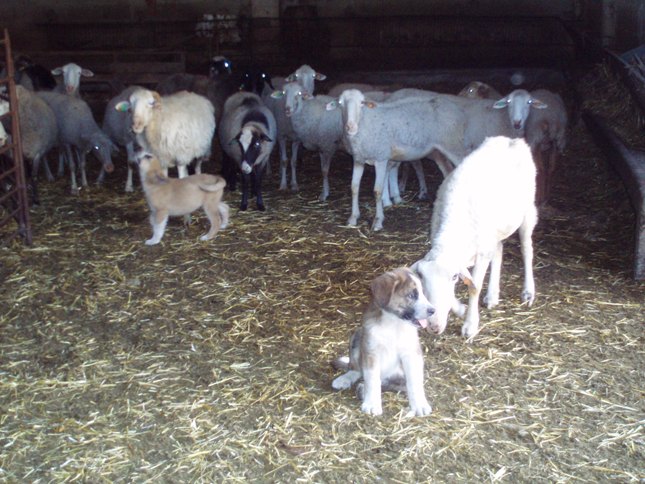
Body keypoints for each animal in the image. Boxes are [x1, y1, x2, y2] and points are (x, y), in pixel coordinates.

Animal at [332, 266, 432, 418]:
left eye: (423, 294)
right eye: (411, 295)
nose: (433, 310)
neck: (393, 323)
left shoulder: (412, 354)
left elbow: (414, 382)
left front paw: (419, 405)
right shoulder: (371, 351)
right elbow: (372, 380)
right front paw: (372, 404)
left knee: (393, 384)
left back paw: (362, 389)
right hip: (357, 336)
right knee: (356, 369)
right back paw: (345, 380)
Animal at [412, 135, 540, 340]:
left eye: (454, 277)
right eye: (422, 278)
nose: (433, 327)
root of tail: (511, 140)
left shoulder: (481, 254)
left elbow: (474, 287)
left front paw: (470, 325)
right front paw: (460, 309)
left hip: (528, 211)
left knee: (527, 250)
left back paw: (528, 292)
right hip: (494, 232)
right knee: (499, 250)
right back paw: (492, 295)